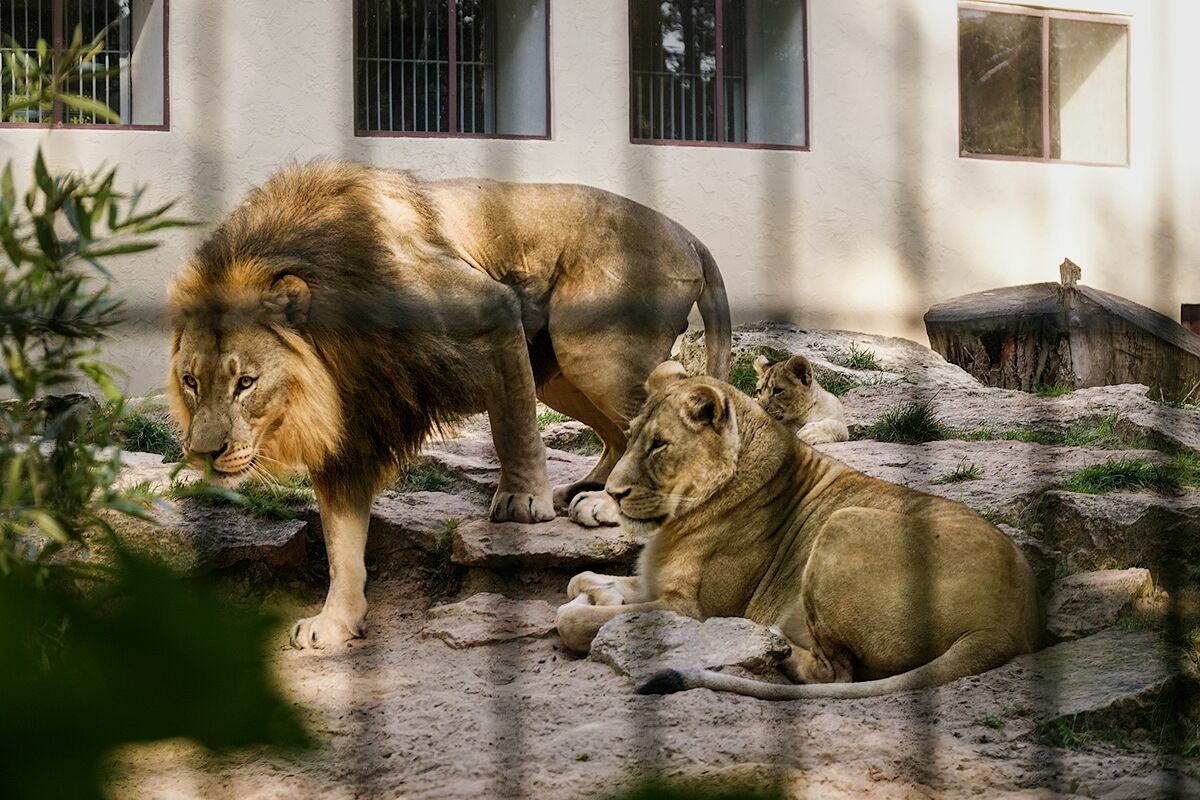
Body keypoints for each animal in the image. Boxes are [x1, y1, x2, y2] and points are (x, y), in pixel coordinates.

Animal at [166, 163, 729, 652]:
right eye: (191, 381)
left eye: (246, 383)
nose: (202, 454)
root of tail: (690, 237)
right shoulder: (355, 414)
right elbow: (341, 540)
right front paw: (336, 621)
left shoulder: (491, 309)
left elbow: (511, 423)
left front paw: (521, 500)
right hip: (562, 369)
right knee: (617, 432)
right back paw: (586, 488)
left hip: (588, 344)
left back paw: (607, 502)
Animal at [556, 362, 1036, 700]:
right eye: (633, 434)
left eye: (659, 445)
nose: (613, 493)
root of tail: (1008, 623)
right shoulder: (656, 582)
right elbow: (579, 580)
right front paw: (600, 591)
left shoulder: (691, 609)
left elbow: (573, 620)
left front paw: (591, 606)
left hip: (842, 523)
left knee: (834, 674)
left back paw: (773, 644)